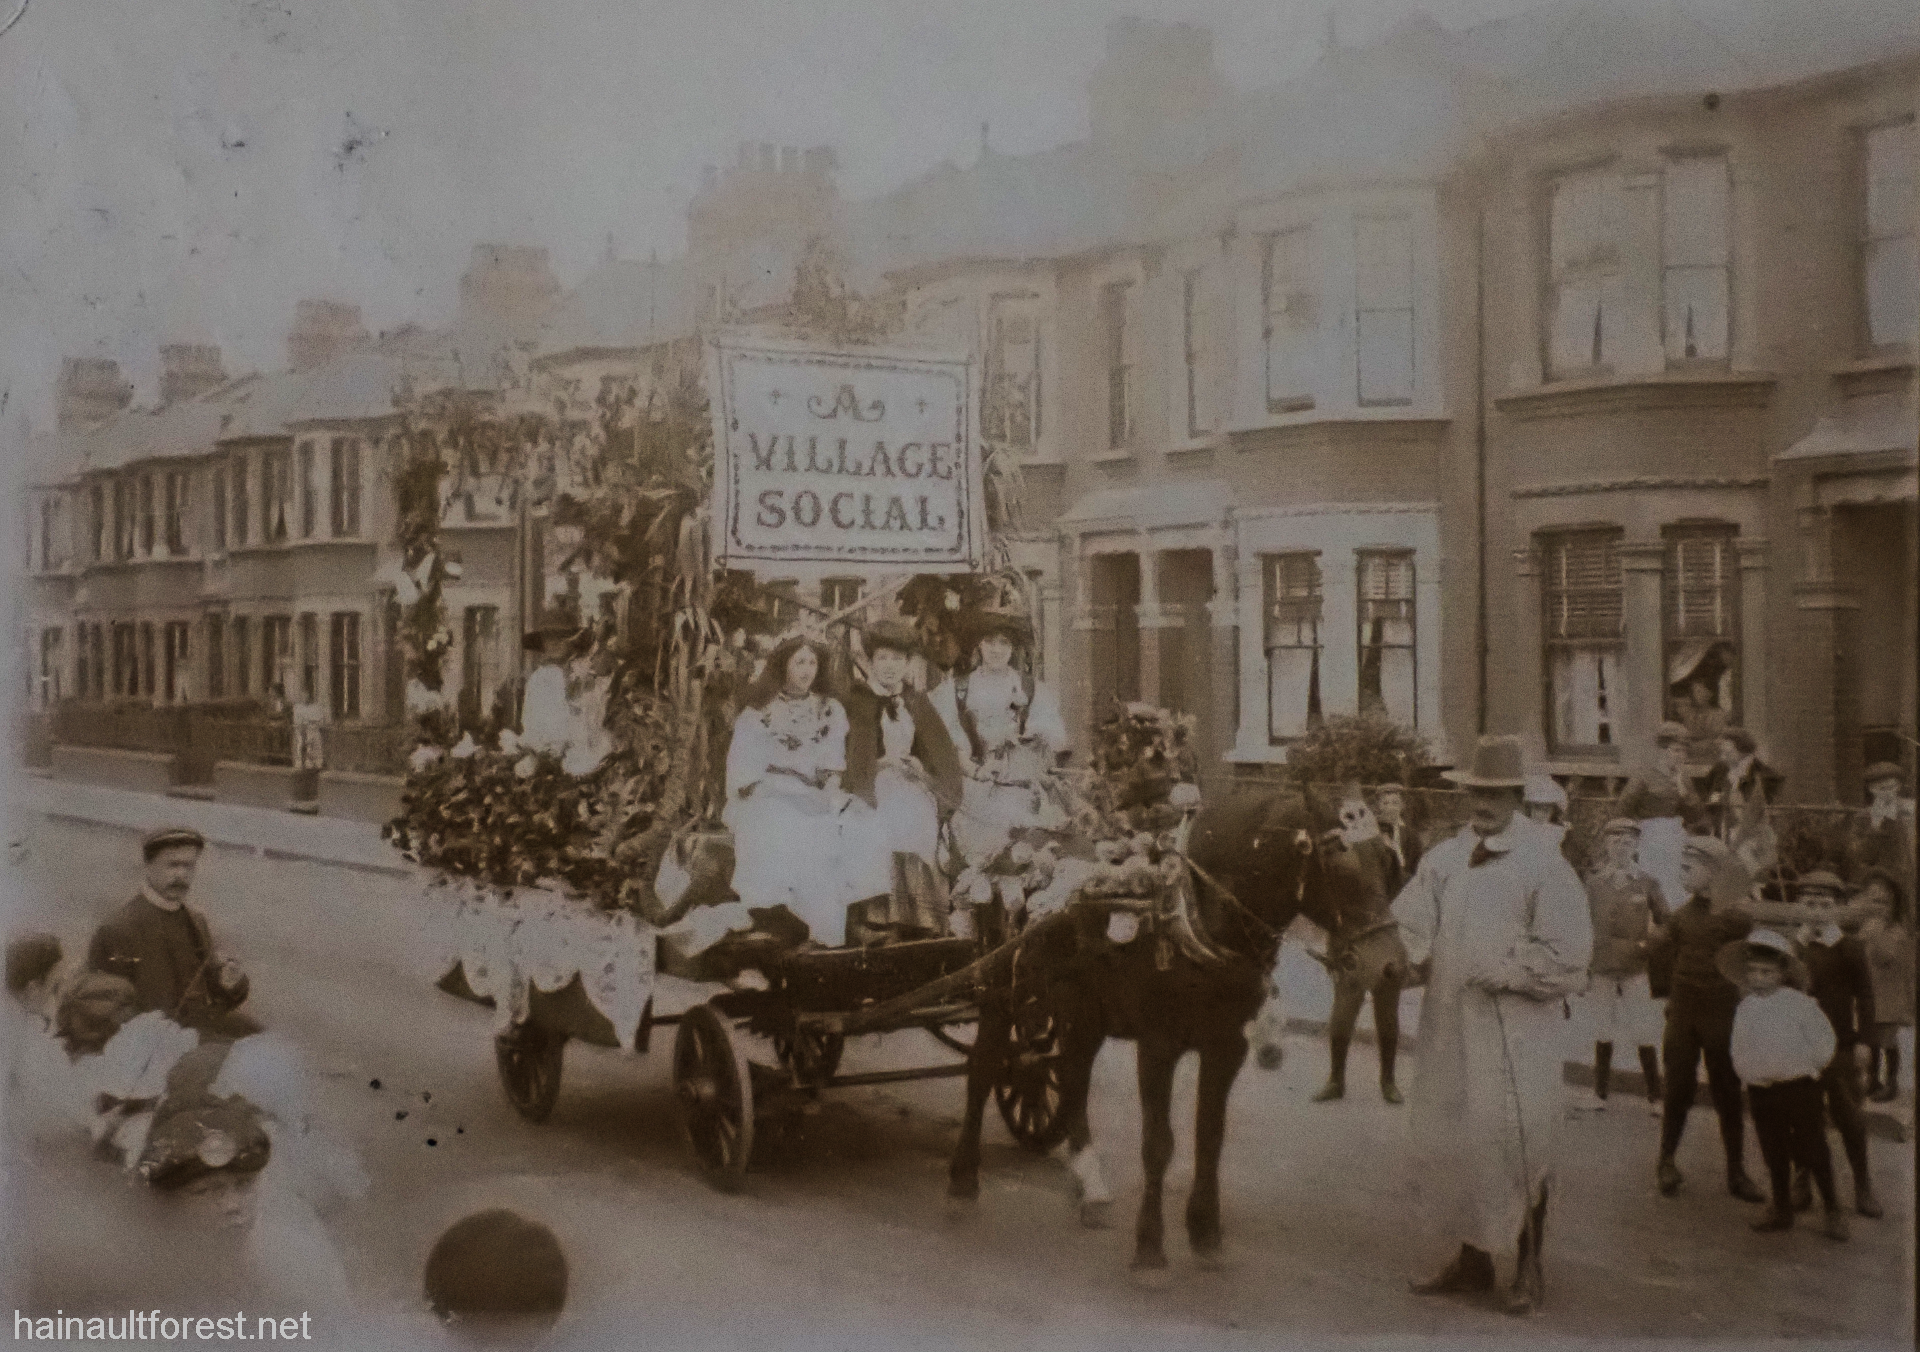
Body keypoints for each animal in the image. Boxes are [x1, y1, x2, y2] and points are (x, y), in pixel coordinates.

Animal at [944, 787, 1367, 1275]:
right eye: (1338, 858)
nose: (1380, 947)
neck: (1194, 918)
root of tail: (1007, 845)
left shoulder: (1227, 1046)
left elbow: (1210, 1136)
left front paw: (1205, 1232)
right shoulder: (1158, 1046)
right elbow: (1159, 1143)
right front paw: (1150, 1246)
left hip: (1081, 1010)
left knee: (1071, 1077)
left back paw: (1091, 1184)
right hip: (999, 994)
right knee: (983, 1069)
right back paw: (963, 1180)